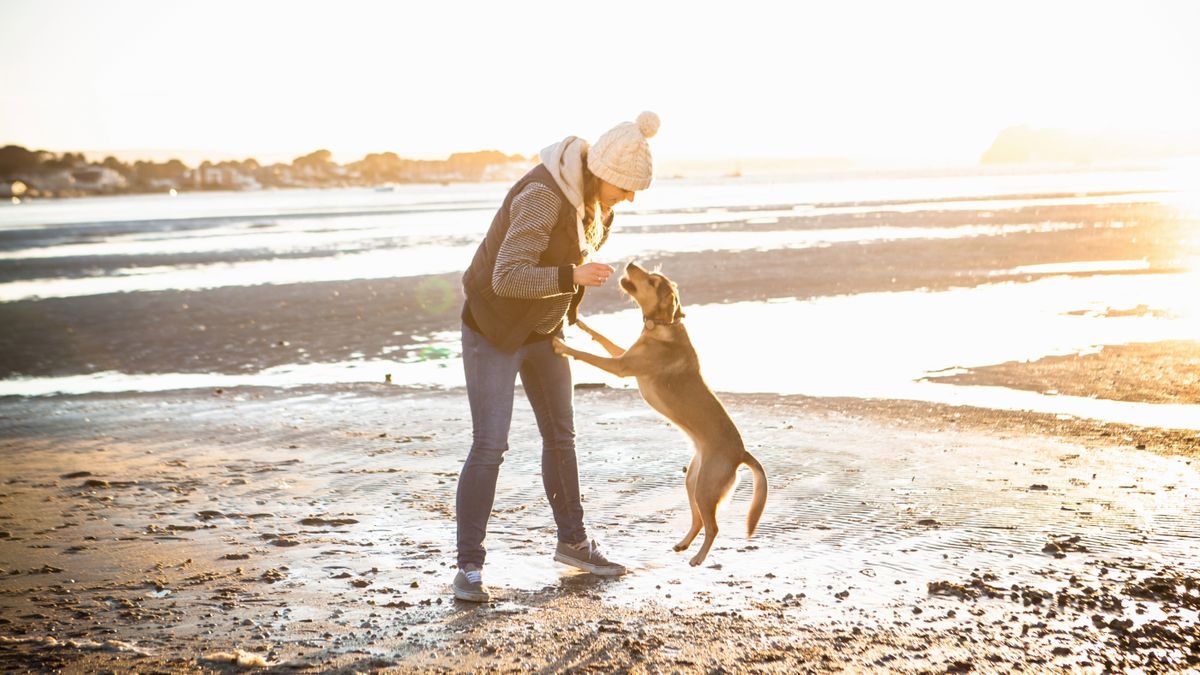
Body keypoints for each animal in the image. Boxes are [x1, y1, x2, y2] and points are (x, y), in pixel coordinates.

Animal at [552, 260, 768, 564]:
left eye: (653, 282)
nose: (631, 263)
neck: (663, 326)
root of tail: (741, 453)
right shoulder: (624, 355)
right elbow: (603, 338)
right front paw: (581, 321)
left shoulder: (620, 366)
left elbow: (589, 356)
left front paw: (562, 345)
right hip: (693, 481)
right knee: (699, 520)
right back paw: (683, 544)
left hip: (705, 488)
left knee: (713, 526)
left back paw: (698, 558)